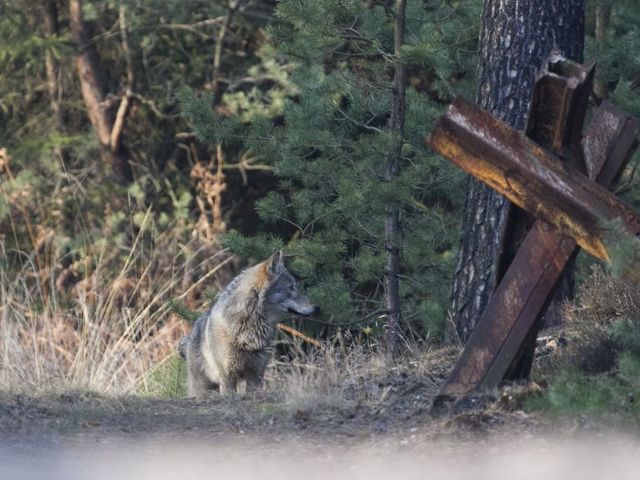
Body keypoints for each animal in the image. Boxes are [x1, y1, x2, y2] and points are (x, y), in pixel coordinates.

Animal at [178, 251, 319, 396]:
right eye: (291, 287)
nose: (317, 308)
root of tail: (190, 333)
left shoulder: (256, 374)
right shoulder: (228, 376)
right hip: (201, 386)